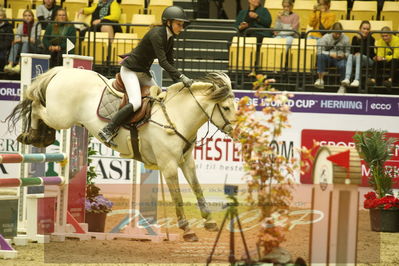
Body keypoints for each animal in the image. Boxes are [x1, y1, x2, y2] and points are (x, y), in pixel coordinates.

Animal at [6, 66, 238, 241]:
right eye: (226, 108)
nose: (238, 132)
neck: (176, 116)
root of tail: (62, 71)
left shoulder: (186, 161)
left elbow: (197, 188)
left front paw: (209, 221)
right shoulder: (169, 165)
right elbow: (178, 197)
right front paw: (187, 230)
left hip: (60, 116)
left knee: (39, 107)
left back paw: (40, 137)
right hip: (60, 115)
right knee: (35, 104)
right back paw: (31, 135)